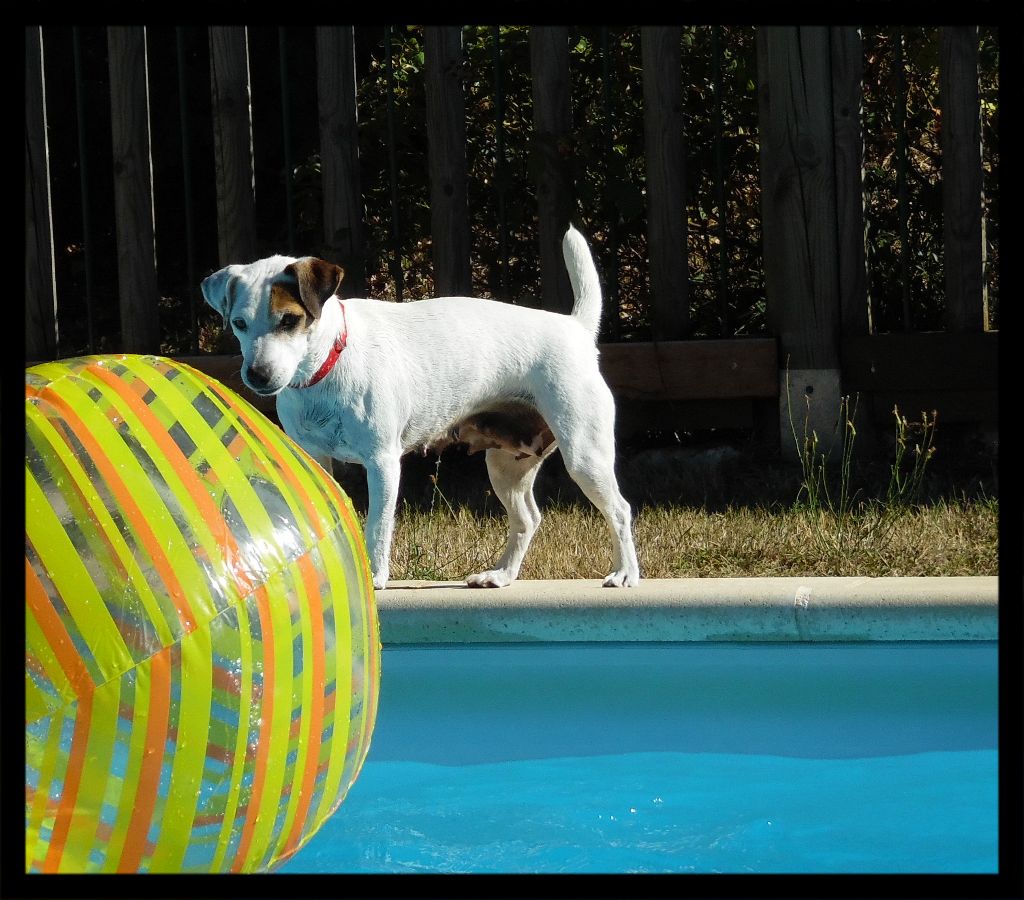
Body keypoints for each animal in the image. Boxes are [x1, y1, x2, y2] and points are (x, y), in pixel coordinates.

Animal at [199, 227, 638, 589]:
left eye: (289, 321)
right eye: (239, 323)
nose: (257, 374)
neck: (331, 361)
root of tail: (576, 327)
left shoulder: (382, 462)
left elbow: (378, 526)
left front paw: (375, 577)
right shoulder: (316, 459)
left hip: (584, 454)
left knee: (619, 509)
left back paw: (624, 574)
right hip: (505, 467)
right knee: (528, 519)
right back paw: (501, 575)